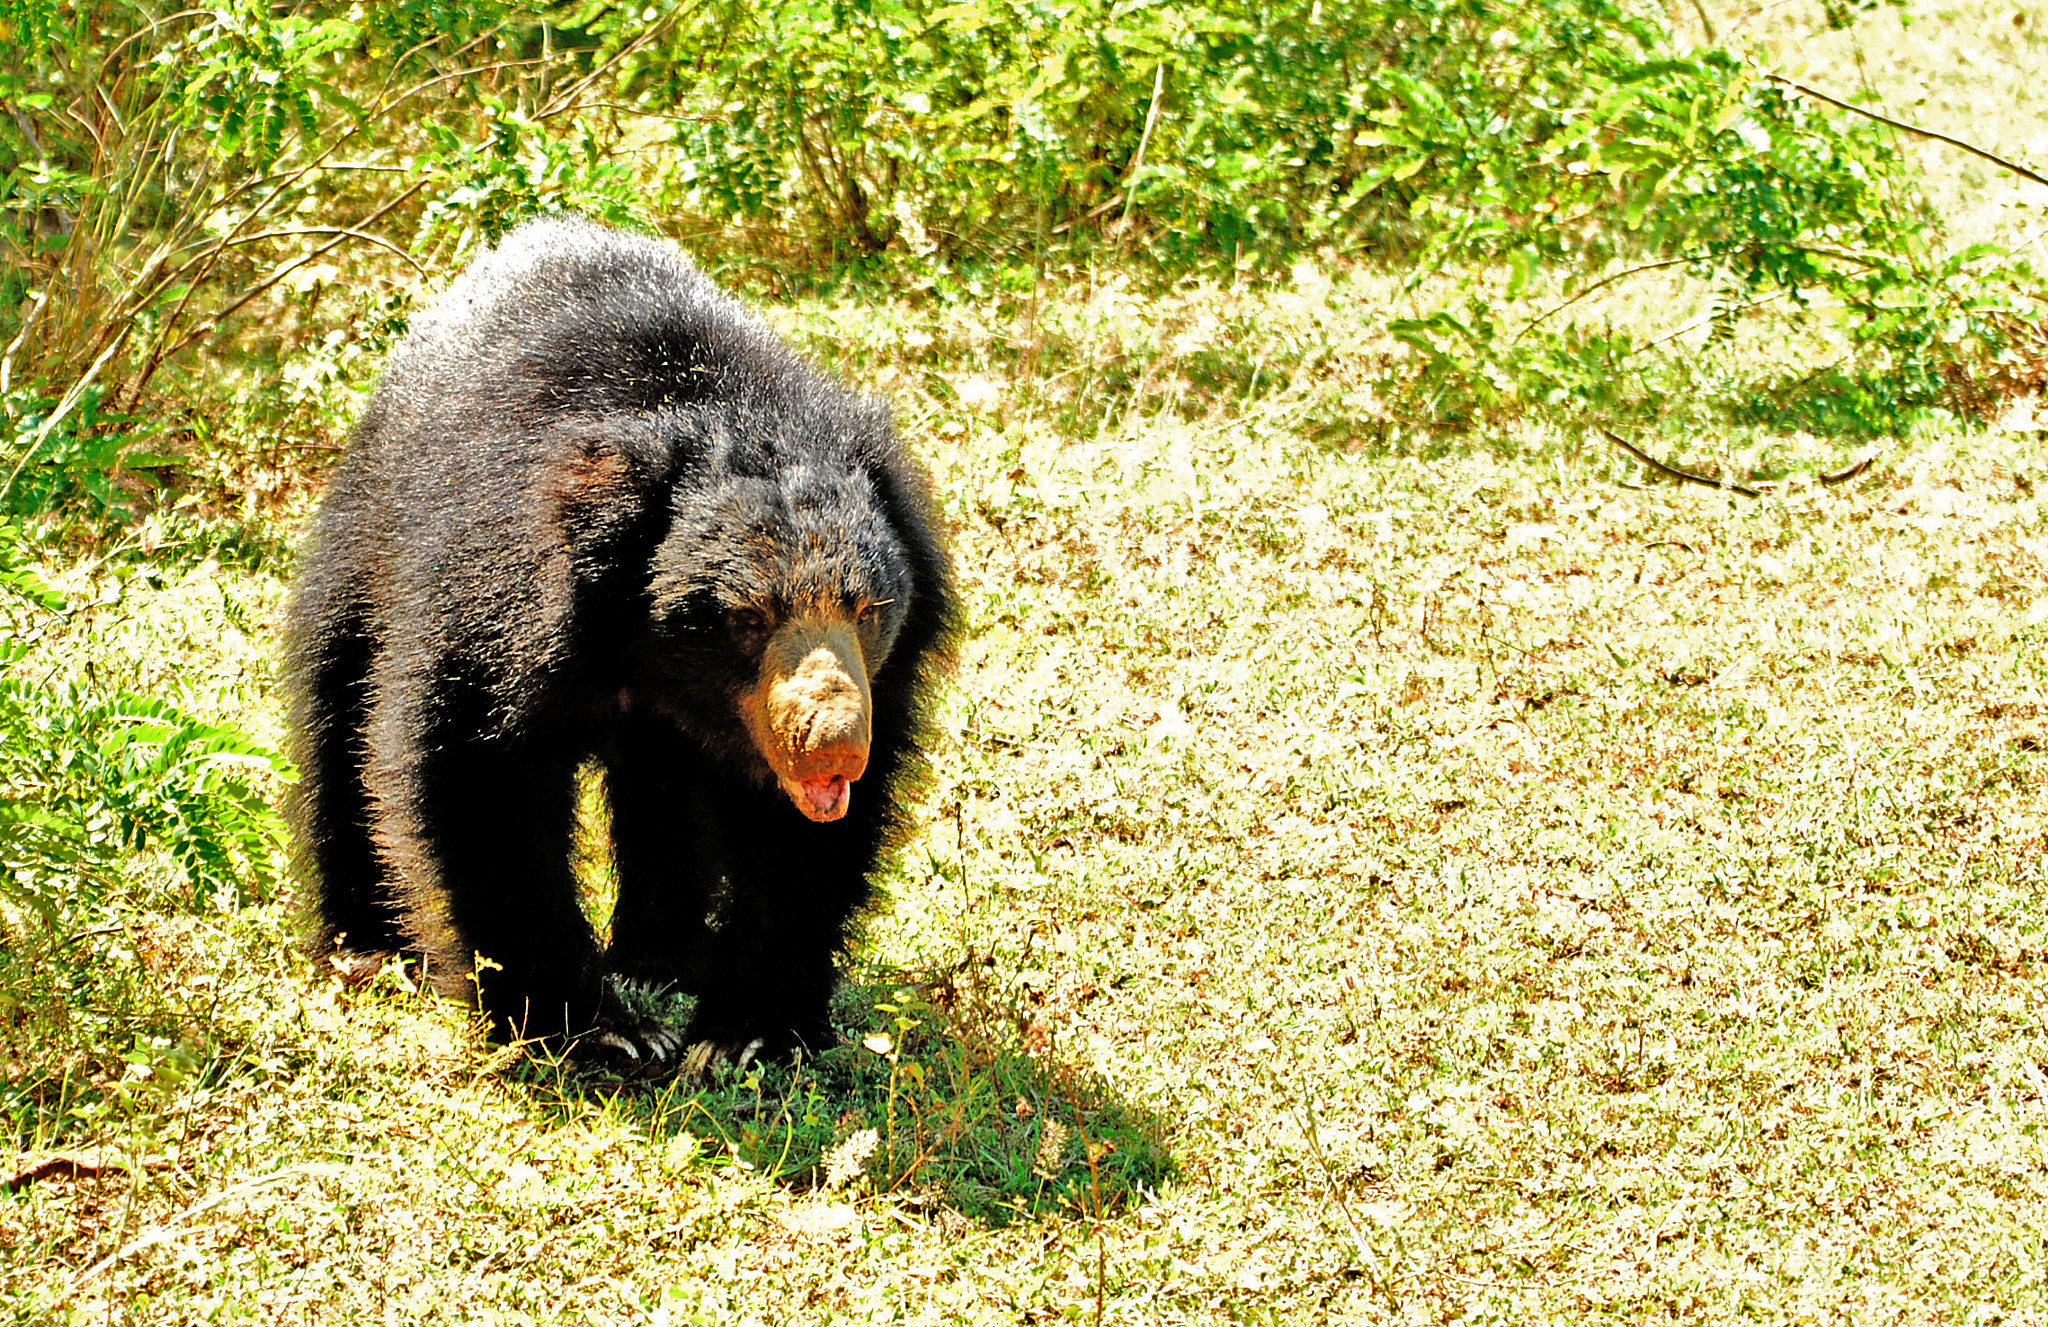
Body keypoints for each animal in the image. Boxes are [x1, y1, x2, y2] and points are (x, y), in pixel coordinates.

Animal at [284, 215, 955, 1076]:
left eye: (867, 610)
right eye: (748, 617)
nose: (832, 747)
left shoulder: (875, 683)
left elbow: (804, 848)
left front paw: (744, 1032)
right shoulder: (492, 599)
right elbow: (481, 776)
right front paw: (599, 1029)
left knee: (664, 794)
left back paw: (662, 957)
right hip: (368, 528)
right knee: (338, 704)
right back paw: (366, 945)